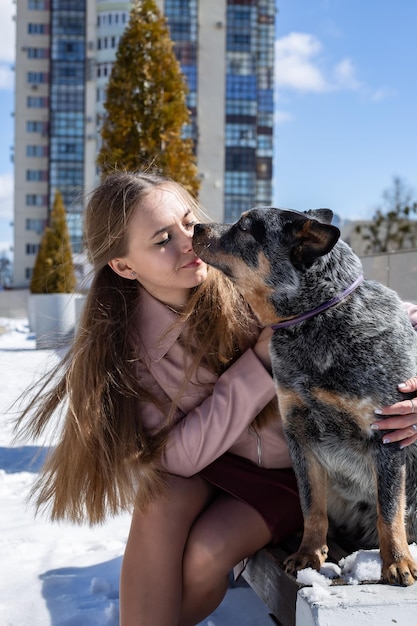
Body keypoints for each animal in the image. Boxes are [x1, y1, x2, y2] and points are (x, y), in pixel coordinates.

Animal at [193, 207, 416, 584]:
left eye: (245, 227)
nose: (194, 226)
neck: (318, 320)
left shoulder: (387, 436)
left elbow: (388, 510)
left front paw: (397, 562)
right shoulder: (299, 433)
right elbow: (311, 505)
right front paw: (309, 554)